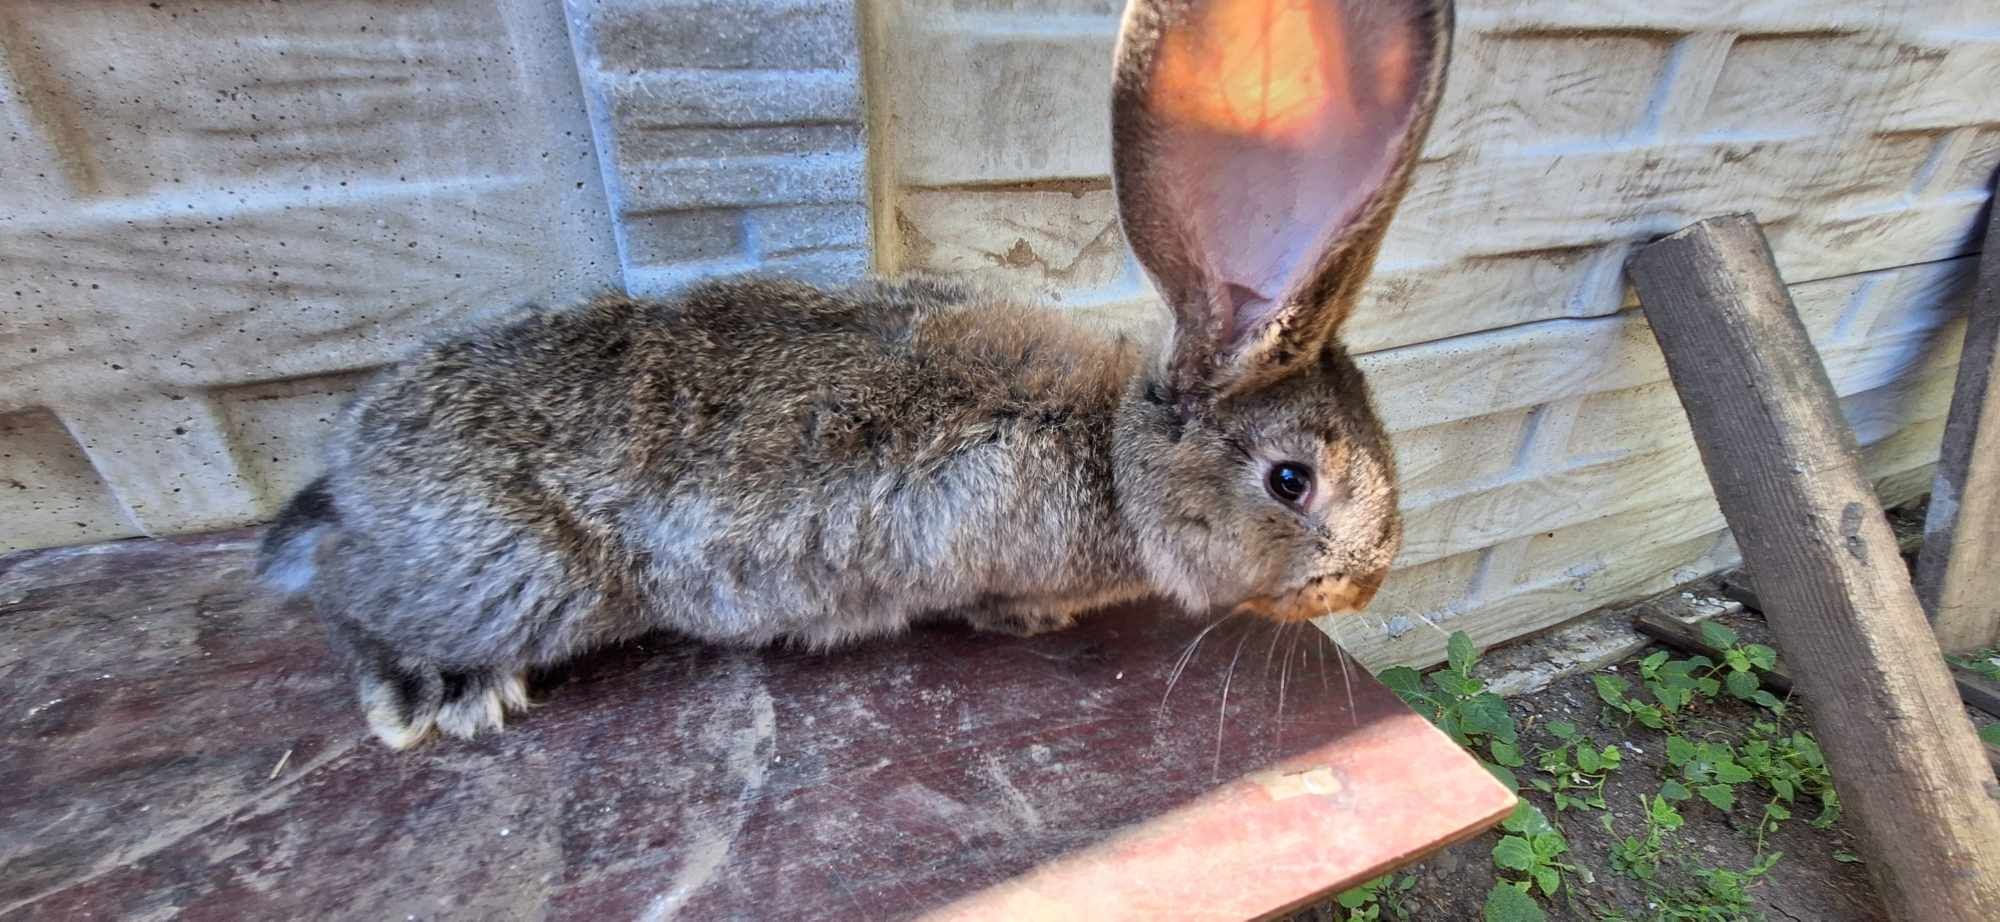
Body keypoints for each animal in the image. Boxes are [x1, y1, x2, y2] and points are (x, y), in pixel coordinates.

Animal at [262, 0, 1456, 748]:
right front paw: (1030, 624)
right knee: (350, 600)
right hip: (517, 578)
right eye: (1292, 482)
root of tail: (352, 477)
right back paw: (433, 695)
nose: (1366, 582)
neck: (1109, 460)